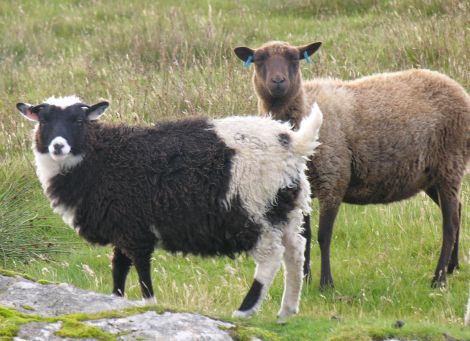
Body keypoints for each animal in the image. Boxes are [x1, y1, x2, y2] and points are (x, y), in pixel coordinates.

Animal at [17, 95, 324, 318]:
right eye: (43, 120)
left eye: (79, 120)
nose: (58, 146)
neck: (101, 157)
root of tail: (293, 143)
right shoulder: (122, 224)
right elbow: (119, 268)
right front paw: (115, 300)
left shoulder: (135, 227)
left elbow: (140, 267)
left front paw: (150, 304)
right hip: (285, 207)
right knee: (296, 251)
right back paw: (287, 311)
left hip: (255, 208)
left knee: (271, 257)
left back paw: (244, 311)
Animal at [235, 40, 470, 290]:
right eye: (259, 60)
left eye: (294, 59)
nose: (278, 82)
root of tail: (459, 89)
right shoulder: (302, 188)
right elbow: (306, 235)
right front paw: (305, 280)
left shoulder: (333, 179)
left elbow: (324, 235)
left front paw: (326, 283)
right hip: (431, 175)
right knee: (458, 210)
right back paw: (453, 266)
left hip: (450, 165)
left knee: (450, 223)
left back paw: (439, 278)